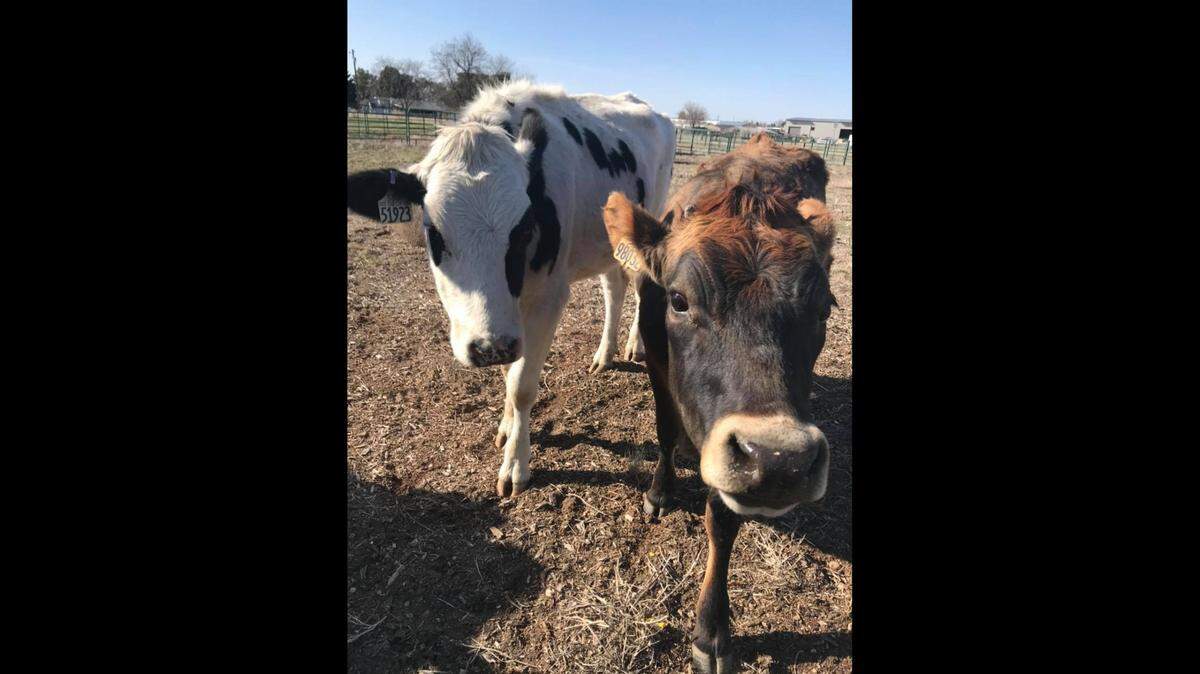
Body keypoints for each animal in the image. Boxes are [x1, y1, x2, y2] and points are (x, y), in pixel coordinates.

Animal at [346, 81, 676, 497]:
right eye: (433, 233)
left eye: (523, 229)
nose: (488, 347)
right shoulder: (506, 321)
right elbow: (508, 374)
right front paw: (505, 426)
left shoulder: (547, 300)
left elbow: (522, 385)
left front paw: (516, 464)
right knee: (613, 287)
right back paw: (604, 354)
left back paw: (636, 345)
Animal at [601, 133, 836, 673]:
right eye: (678, 300)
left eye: (824, 309)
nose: (780, 460)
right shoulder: (660, 365)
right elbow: (665, 432)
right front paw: (659, 491)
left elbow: (722, 519)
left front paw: (711, 631)